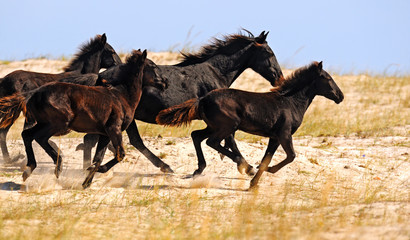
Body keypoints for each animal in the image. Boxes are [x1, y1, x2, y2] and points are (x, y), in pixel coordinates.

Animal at [0, 33, 121, 163]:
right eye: (112, 51)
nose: (120, 65)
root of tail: (4, 79)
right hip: (16, 112)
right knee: (7, 132)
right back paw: (10, 159)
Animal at [0, 49, 167, 188]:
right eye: (152, 66)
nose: (165, 82)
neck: (122, 95)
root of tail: (32, 94)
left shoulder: (104, 134)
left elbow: (98, 158)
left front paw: (87, 182)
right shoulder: (114, 129)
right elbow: (119, 154)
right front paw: (95, 171)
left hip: (44, 123)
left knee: (27, 135)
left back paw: (30, 169)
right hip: (58, 124)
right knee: (38, 137)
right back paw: (56, 166)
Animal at [80, 30, 286, 174]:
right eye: (269, 53)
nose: (280, 79)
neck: (216, 72)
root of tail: (100, 76)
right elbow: (230, 139)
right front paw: (245, 166)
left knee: (127, 141)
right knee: (115, 140)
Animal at [155, 61, 344, 188]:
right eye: (327, 78)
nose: (340, 96)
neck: (290, 102)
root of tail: (202, 99)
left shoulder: (275, 137)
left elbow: (267, 158)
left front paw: (254, 183)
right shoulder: (284, 134)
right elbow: (291, 156)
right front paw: (262, 172)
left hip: (213, 126)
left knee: (197, 136)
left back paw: (200, 169)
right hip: (228, 126)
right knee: (212, 142)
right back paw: (243, 164)